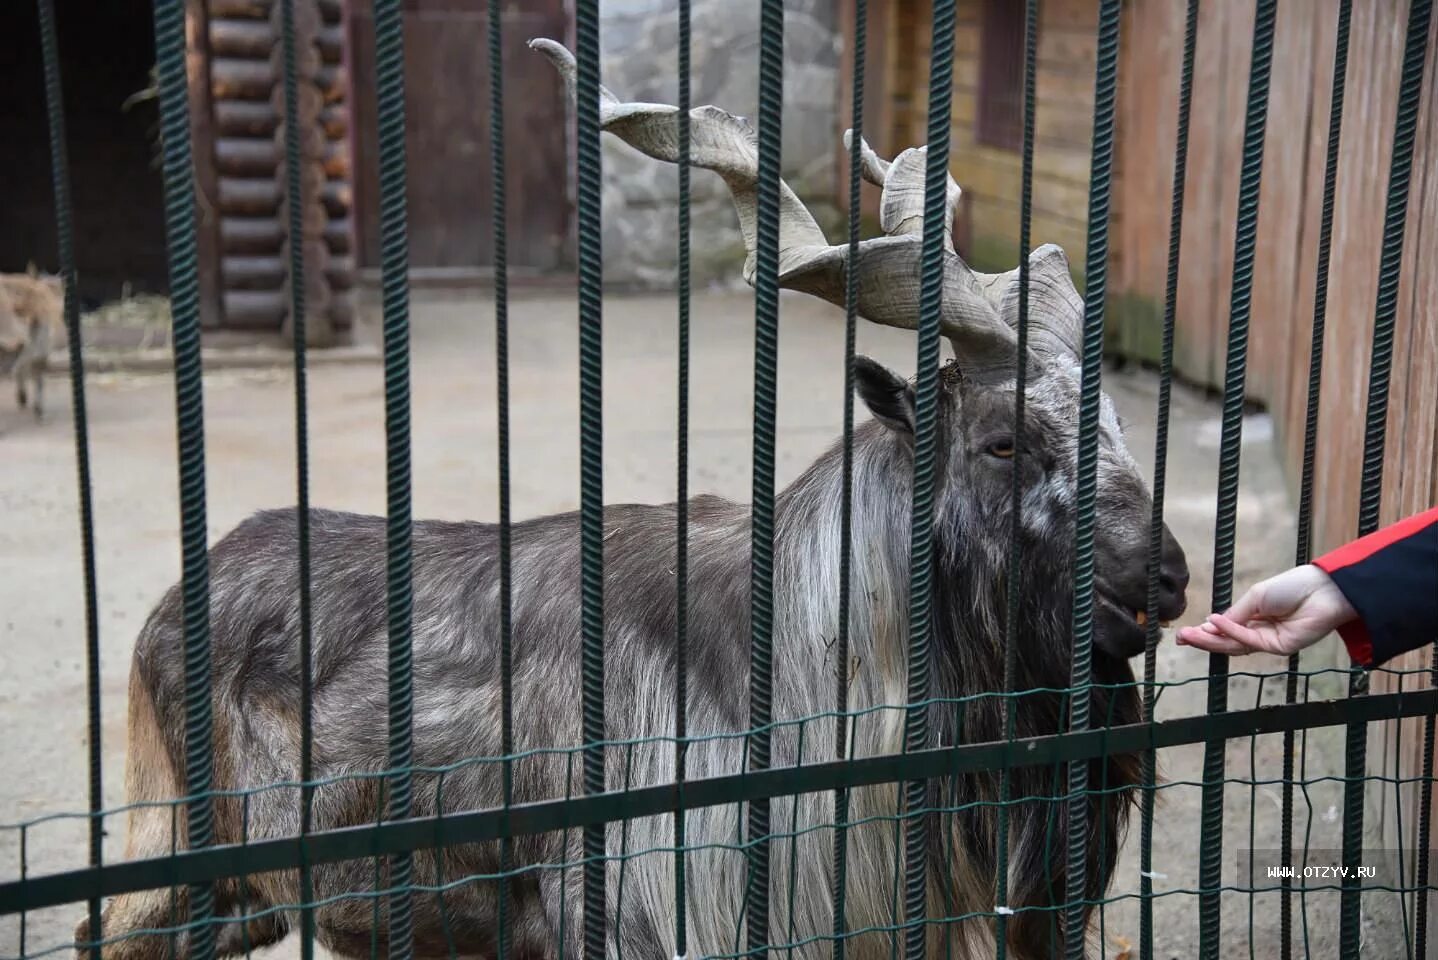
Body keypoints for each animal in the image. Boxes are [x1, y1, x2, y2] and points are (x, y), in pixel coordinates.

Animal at [84, 37, 1196, 960]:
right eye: (1003, 440)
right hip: (175, 881)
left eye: (1116, 427)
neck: (812, 653)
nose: (1167, 578)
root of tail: (178, 596)